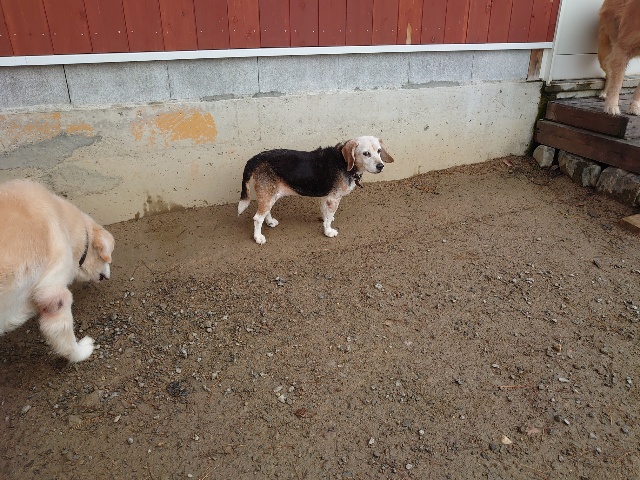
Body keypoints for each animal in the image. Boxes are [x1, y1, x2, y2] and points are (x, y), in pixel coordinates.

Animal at [238, 136, 394, 244]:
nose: (381, 166)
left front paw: (325, 223)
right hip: (268, 193)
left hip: (271, 193)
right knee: (257, 218)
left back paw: (270, 222)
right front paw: (329, 231)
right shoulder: (333, 199)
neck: (344, 162)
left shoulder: (326, 197)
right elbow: (329, 217)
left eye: (379, 151)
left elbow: (326, 214)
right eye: (366, 153)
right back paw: (258, 237)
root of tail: (256, 158)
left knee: (266, 211)